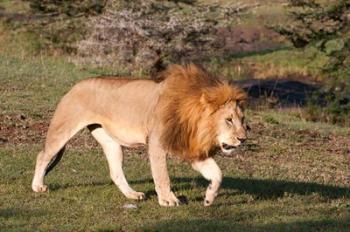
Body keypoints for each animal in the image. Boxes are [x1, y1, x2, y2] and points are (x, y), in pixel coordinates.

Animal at [31, 64, 247, 207]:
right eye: (228, 120)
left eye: (242, 119)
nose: (243, 139)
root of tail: (75, 86)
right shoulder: (157, 143)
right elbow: (162, 175)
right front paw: (168, 200)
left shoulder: (191, 149)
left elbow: (217, 173)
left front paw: (209, 198)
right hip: (63, 128)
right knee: (42, 156)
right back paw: (38, 187)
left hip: (110, 142)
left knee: (115, 171)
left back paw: (132, 195)